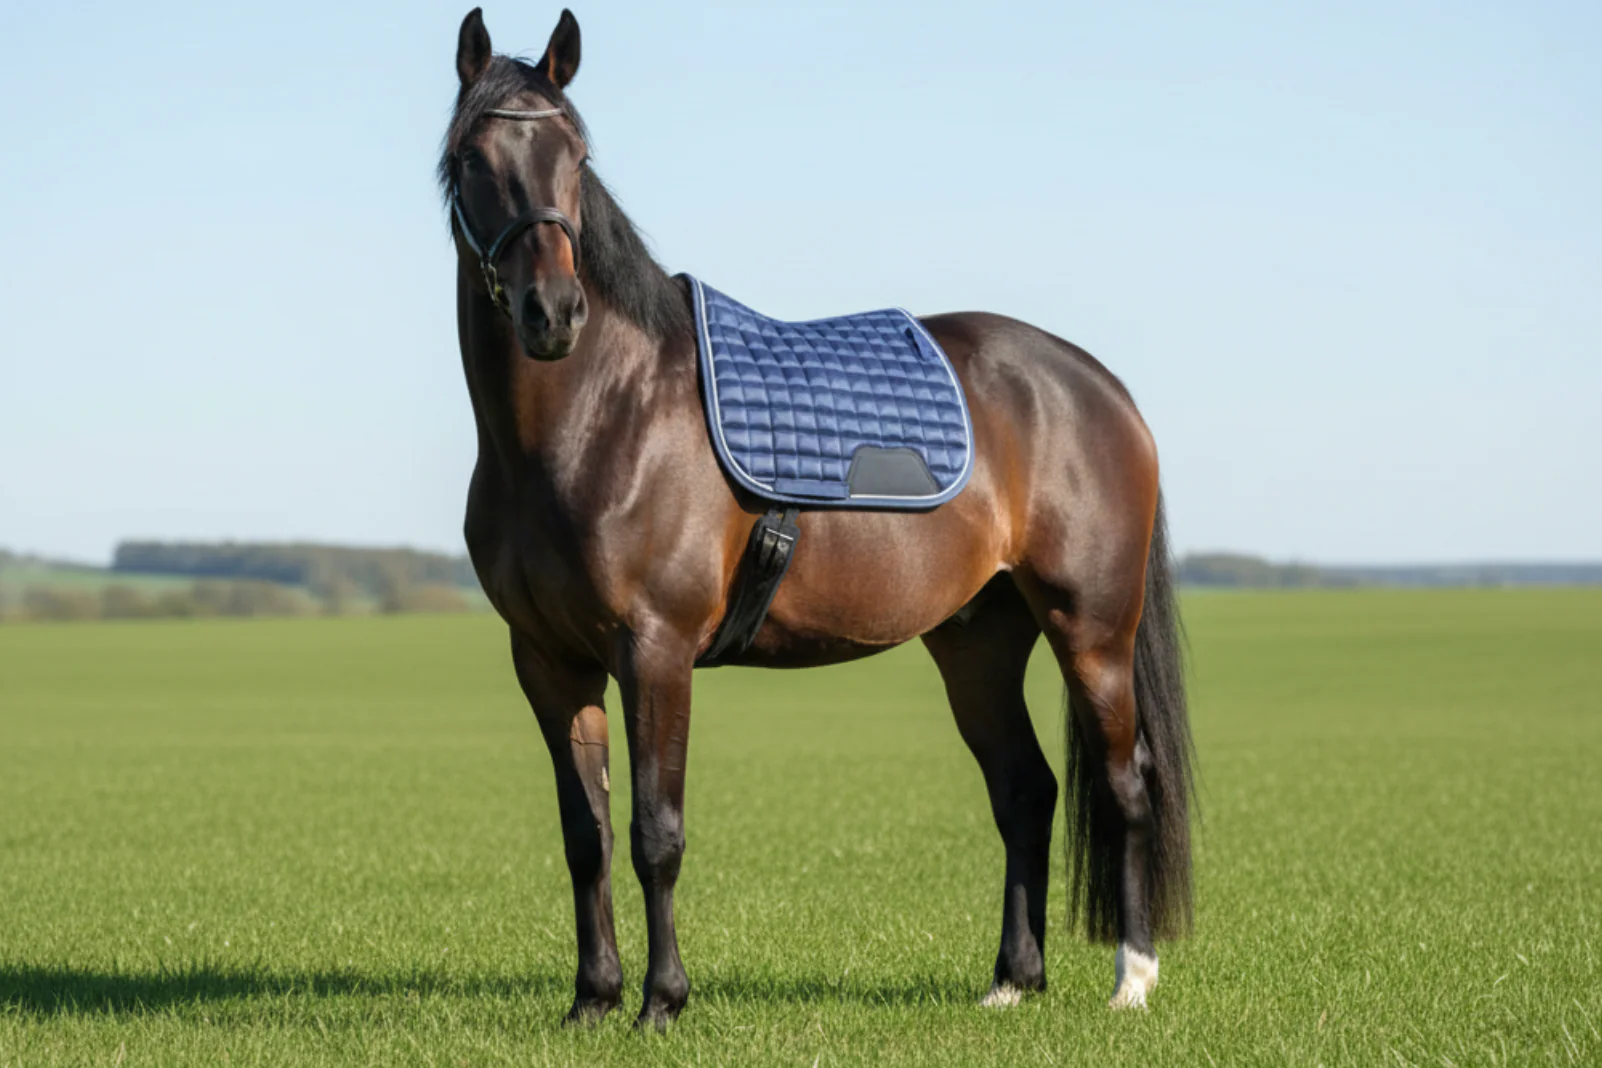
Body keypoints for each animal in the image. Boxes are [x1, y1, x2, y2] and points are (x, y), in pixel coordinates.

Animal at [440, 7, 1194, 1029]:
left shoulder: (655, 651)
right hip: (978, 640)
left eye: (577, 155)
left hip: (1093, 633)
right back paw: (1012, 980)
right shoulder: (549, 662)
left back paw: (1132, 981)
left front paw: (661, 1003)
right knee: (1024, 791)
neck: (600, 414)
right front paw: (591, 1001)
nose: (552, 313)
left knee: (1125, 788)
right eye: (474, 157)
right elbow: (585, 835)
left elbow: (655, 832)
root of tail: (1098, 385)